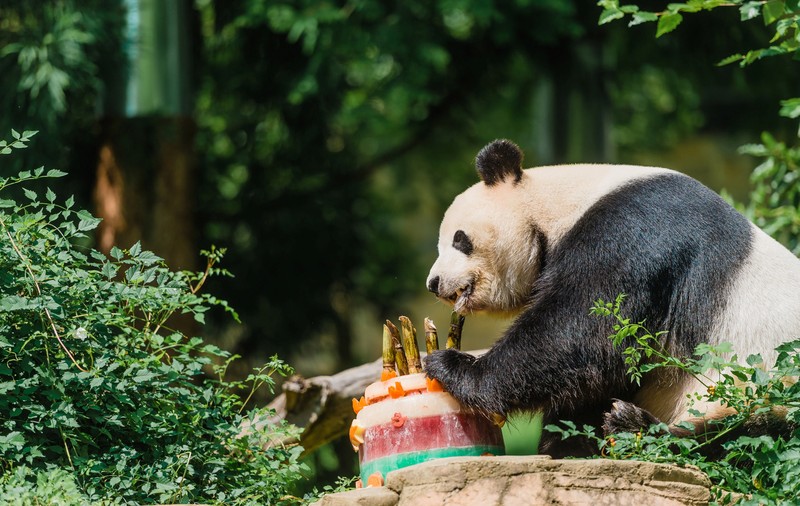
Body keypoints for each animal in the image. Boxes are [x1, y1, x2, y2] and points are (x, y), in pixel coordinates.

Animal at [424, 139, 800, 456]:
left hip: (768, 386)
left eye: (460, 239)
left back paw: (632, 426)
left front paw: (454, 367)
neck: (563, 201)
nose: (434, 283)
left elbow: (584, 329)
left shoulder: (637, 232)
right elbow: (598, 372)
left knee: (745, 437)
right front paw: (568, 443)